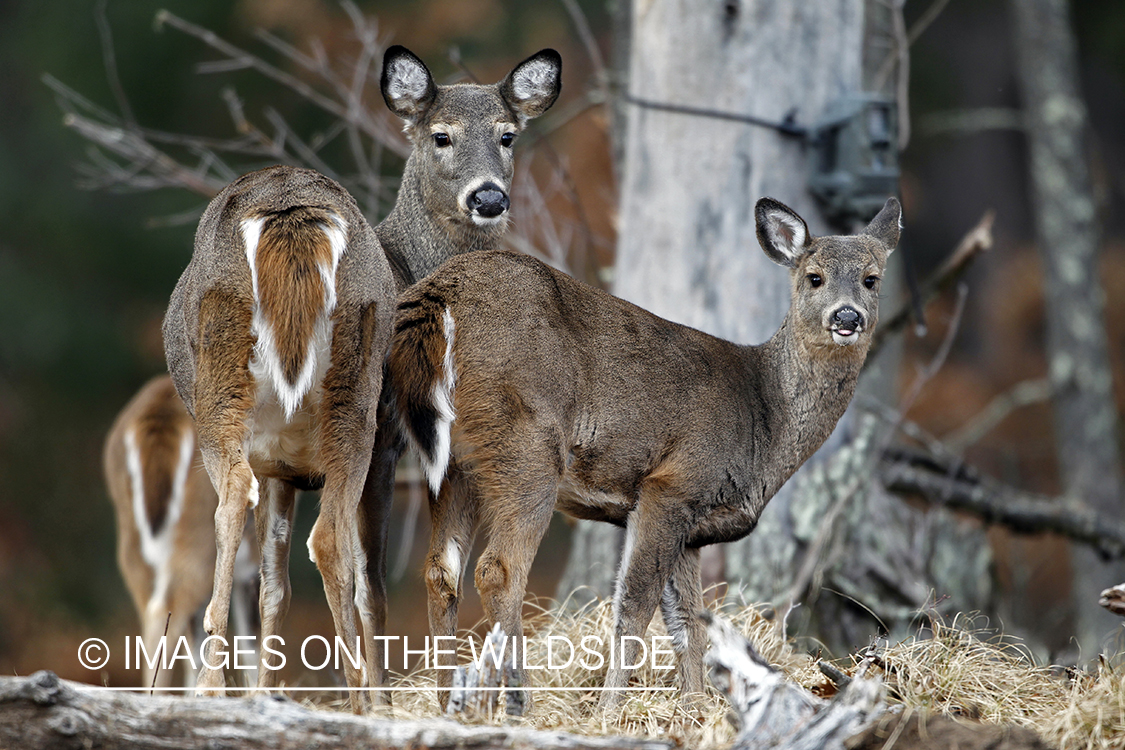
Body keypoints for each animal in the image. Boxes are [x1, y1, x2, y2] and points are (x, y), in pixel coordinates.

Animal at [163, 164, 396, 710]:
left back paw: (210, 684)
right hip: (356, 389)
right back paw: (358, 696)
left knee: (231, 499)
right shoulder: (287, 466)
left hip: (222, 376)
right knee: (329, 538)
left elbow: (271, 582)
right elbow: (279, 583)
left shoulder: (272, 463)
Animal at [391, 195, 900, 710]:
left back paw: (445, 703)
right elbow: (634, 607)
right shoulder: (674, 482)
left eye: (871, 278)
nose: (847, 317)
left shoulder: (692, 529)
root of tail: (439, 296)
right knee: (499, 571)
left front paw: (694, 707)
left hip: (454, 463)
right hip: (527, 442)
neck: (763, 418)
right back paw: (518, 703)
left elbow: (689, 624)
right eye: (814, 277)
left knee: (441, 571)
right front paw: (610, 710)